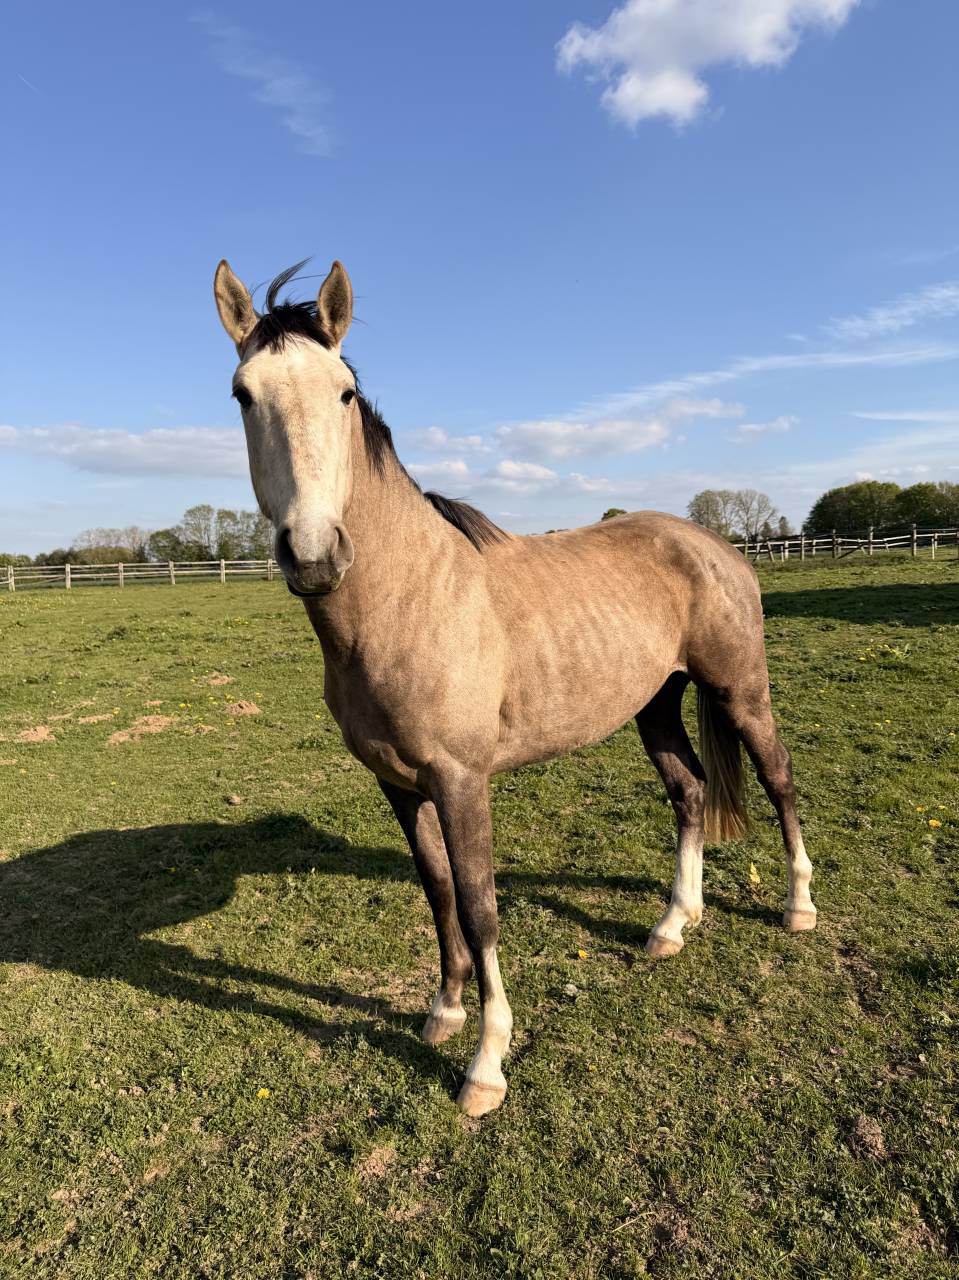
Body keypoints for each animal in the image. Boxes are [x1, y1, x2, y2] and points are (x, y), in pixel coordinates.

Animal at [212, 257, 817, 1116]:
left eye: (344, 392)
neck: (410, 599)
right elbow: (436, 892)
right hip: (655, 706)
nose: (314, 553)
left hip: (740, 691)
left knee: (778, 780)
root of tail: (711, 543)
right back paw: (673, 924)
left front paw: (485, 1064)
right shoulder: (399, 785)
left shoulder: (462, 780)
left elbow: (479, 906)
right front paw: (442, 1011)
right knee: (691, 792)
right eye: (243, 393)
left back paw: (797, 906)